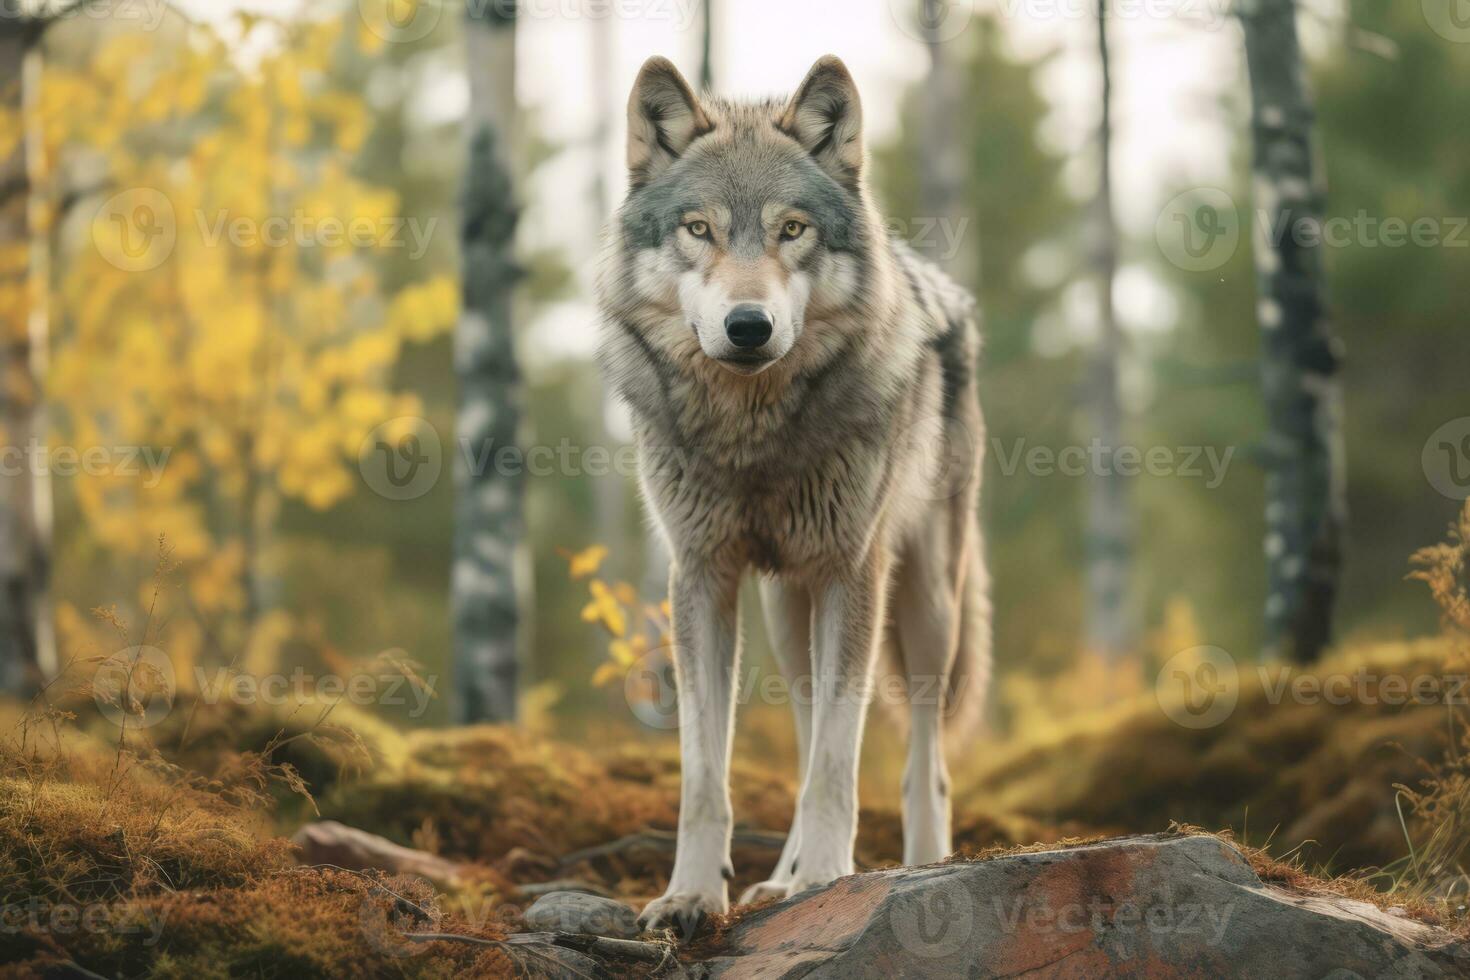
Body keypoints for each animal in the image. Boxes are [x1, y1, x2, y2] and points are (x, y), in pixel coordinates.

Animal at [599, 53, 999, 934]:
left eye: (792, 229)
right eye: (699, 229)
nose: (748, 326)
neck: (753, 436)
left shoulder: (853, 572)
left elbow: (837, 765)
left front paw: (827, 879)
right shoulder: (702, 578)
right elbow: (705, 775)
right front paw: (691, 895)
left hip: (925, 603)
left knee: (923, 759)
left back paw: (917, 867)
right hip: (789, 614)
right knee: (812, 719)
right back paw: (778, 882)